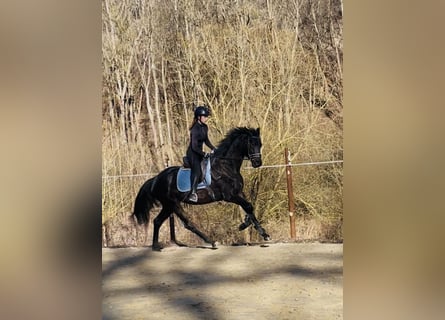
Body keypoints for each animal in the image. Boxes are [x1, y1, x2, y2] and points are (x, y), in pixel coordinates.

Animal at [133, 127, 270, 250]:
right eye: (251, 144)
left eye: (260, 144)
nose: (258, 163)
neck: (226, 166)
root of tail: (155, 179)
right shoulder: (229, 196)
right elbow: (248, 206)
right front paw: (263, 234)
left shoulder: (239, 192)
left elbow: (249, 207)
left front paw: (248, 225)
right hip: (172, 204)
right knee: (184, 223)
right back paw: (211, 242)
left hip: (169, 206)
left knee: (159, 221)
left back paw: (156, 246)